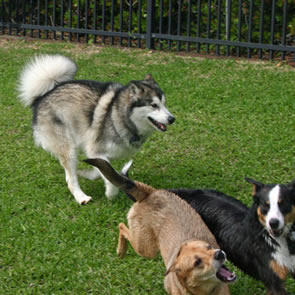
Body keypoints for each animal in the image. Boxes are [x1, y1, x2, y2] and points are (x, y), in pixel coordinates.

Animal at [17, 54, 176, 205]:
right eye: (154, 105)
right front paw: (110, 193)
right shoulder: (95, 149)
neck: (118, 114)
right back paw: (81, 197)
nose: (172, 119)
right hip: (68, 150)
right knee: (71, 179)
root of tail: (42, 96)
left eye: (164, 103)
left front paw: (85, 173)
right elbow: (107, 175)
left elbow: (100, 170)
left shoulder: (98, 153)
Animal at [84, 160, 237, 295]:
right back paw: (121, 251)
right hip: (146, 248)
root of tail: (150, 193)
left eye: (209, 247)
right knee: (121, 226)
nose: (220, 253)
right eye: (197, 262)